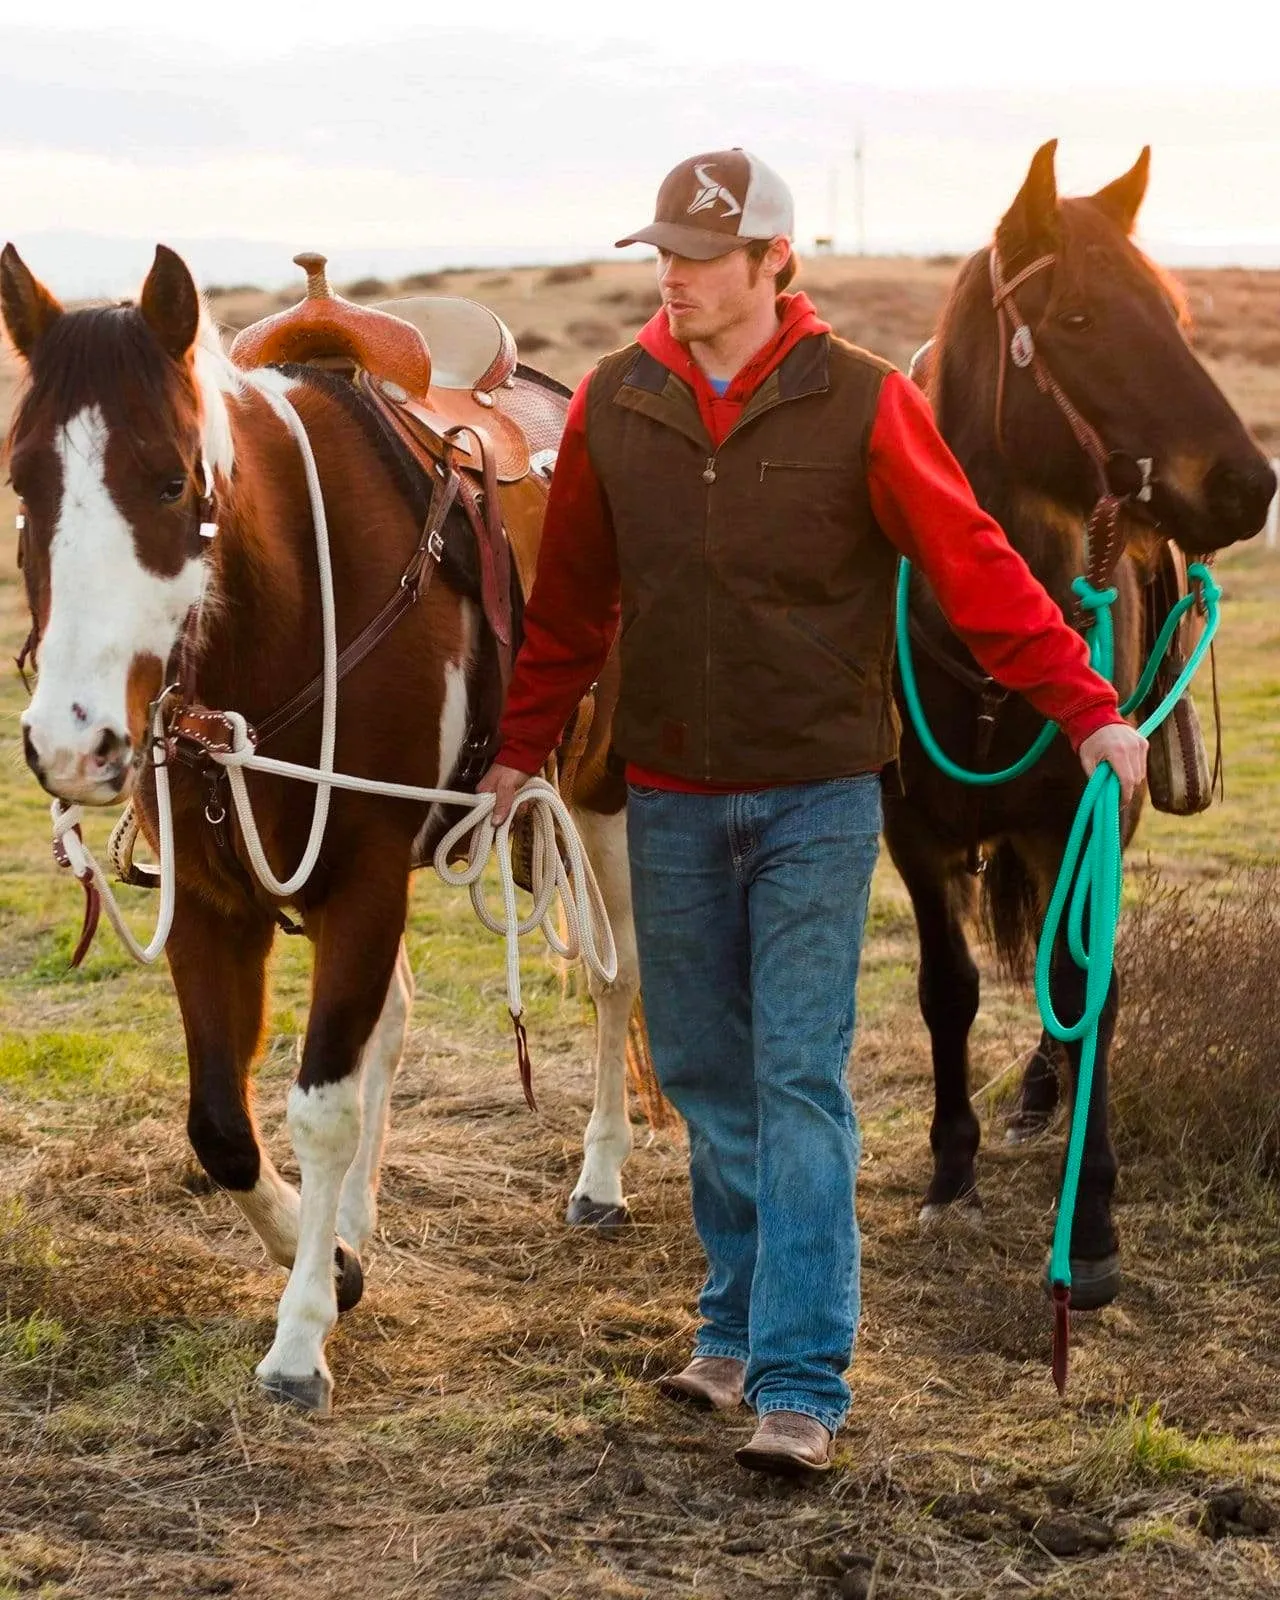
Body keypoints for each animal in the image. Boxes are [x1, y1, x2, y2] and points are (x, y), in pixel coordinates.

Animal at [0, 243, 636, 1408]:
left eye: (172, 481)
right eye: (25, 484)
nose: (73, 740)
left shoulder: (366, 880)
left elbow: (321, 1106)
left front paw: (301, 1334)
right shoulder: (215, 903)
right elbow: (222, 1124)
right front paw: (331, 1254)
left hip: (597, 793)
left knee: (619, 982)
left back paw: (601, 1173)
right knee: (390, 1021)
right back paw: (357, 1216)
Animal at [883, 144, 1273, 1305]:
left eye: (1176, 314)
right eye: (1080, 320)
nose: (1249, 484)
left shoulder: (1082, 816)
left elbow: (1083, 984)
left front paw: (1089, 1220)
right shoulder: (912, 836)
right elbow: (949, 988)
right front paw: (951, 1171)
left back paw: (1042, 1091)